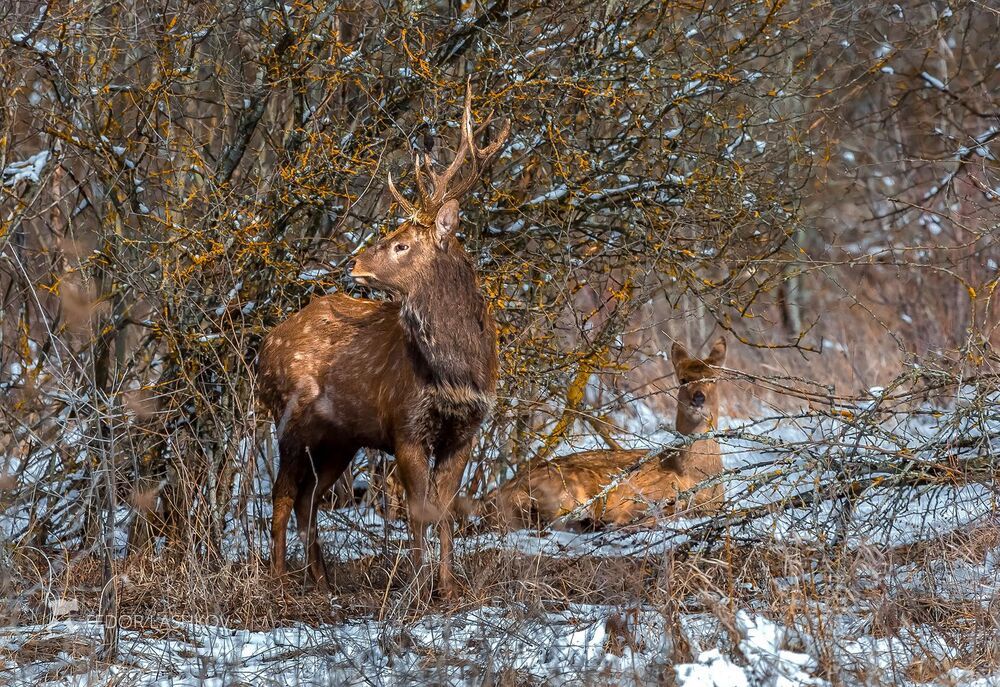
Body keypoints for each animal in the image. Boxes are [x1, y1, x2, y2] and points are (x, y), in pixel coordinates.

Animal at [257, 83, 509, 597]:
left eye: (400, 244)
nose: (355, 263)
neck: (456, 373)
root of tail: (264, 347)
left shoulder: (466, 430)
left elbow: (445, 511)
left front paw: (447, 588)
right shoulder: (405, 424)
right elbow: (417, 513)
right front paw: (415, 587)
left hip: (341, 437)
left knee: (308, 499)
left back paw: (322, 581)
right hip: (288, 418)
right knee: (282, 494)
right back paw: (279, 581)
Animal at [459, 337, 727, 531]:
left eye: (714, 379)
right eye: (683, 379)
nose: (698, 398)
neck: (690, 473)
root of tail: (492, 498)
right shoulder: (646, 495)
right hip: (565, 491)